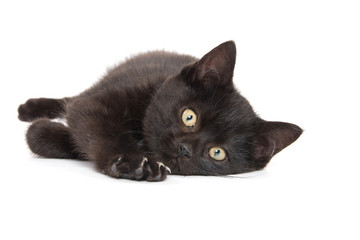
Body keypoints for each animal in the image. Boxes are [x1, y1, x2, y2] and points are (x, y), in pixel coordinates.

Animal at [18, 41, 302, 181]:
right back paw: (29, 108)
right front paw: (131, 161)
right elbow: (92, 122)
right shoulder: (97, 103)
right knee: (72, 99)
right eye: (189, 116)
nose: (184, 149)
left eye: (217, 153)